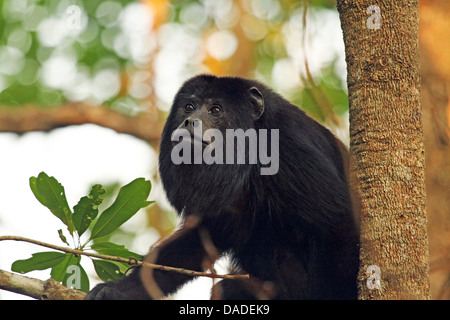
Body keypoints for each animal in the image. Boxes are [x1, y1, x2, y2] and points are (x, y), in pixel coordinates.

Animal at [87, 75, 358, 300]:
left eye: (215, 110)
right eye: (189, 107)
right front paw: (121, 290)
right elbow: (199, 239)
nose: (190, 122)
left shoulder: (288, 147)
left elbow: (338, 222)